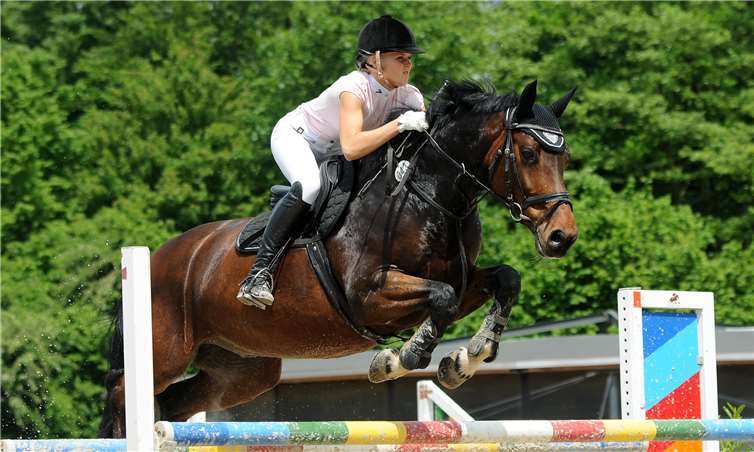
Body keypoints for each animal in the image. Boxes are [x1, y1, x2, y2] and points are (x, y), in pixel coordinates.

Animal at [99, 79, 578, 437]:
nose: (562, 236)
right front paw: (399, 359)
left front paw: (466, 359)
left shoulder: (461, 283)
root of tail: (158, 257)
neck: (428, 195)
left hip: (243, 368)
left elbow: (504, 280)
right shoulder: (370, 296)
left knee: (175, 403)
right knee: (124, 393)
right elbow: (439, 299)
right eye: (529, 154)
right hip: (164, 353)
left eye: (566, 157)